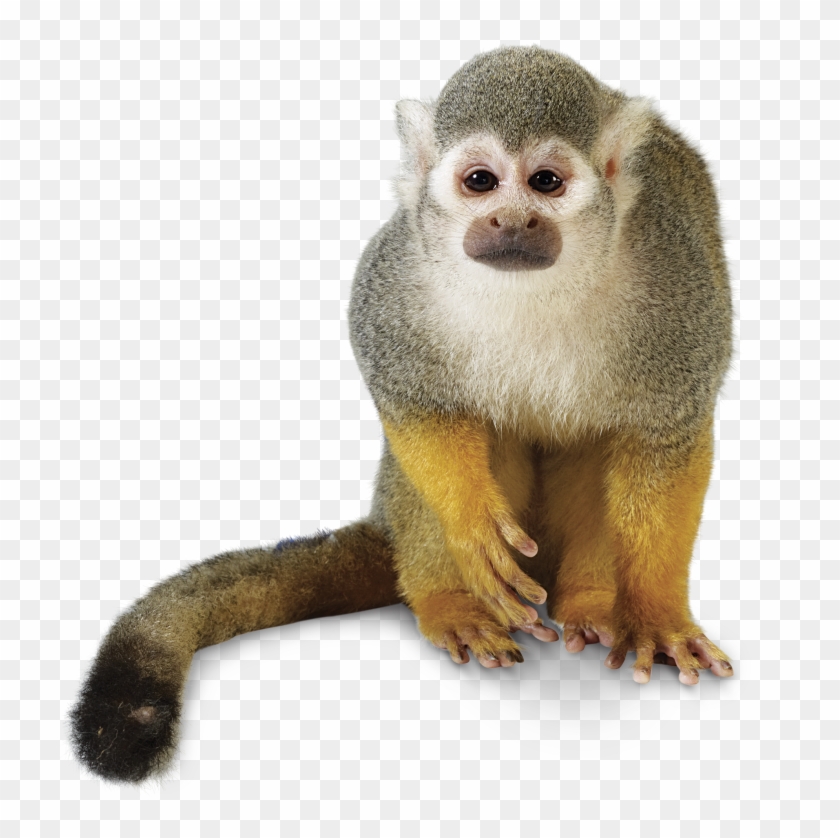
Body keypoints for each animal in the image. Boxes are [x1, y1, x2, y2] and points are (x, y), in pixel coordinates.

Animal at [70, 46, 734, 784]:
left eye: (546, 182)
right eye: (480, 181)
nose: (511, 222)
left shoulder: (676, 285)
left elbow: (666, 435)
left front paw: (657, 615)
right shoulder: (398, 268)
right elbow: (412, 399)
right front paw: (471, 530)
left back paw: (588, 601)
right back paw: (448, 602)